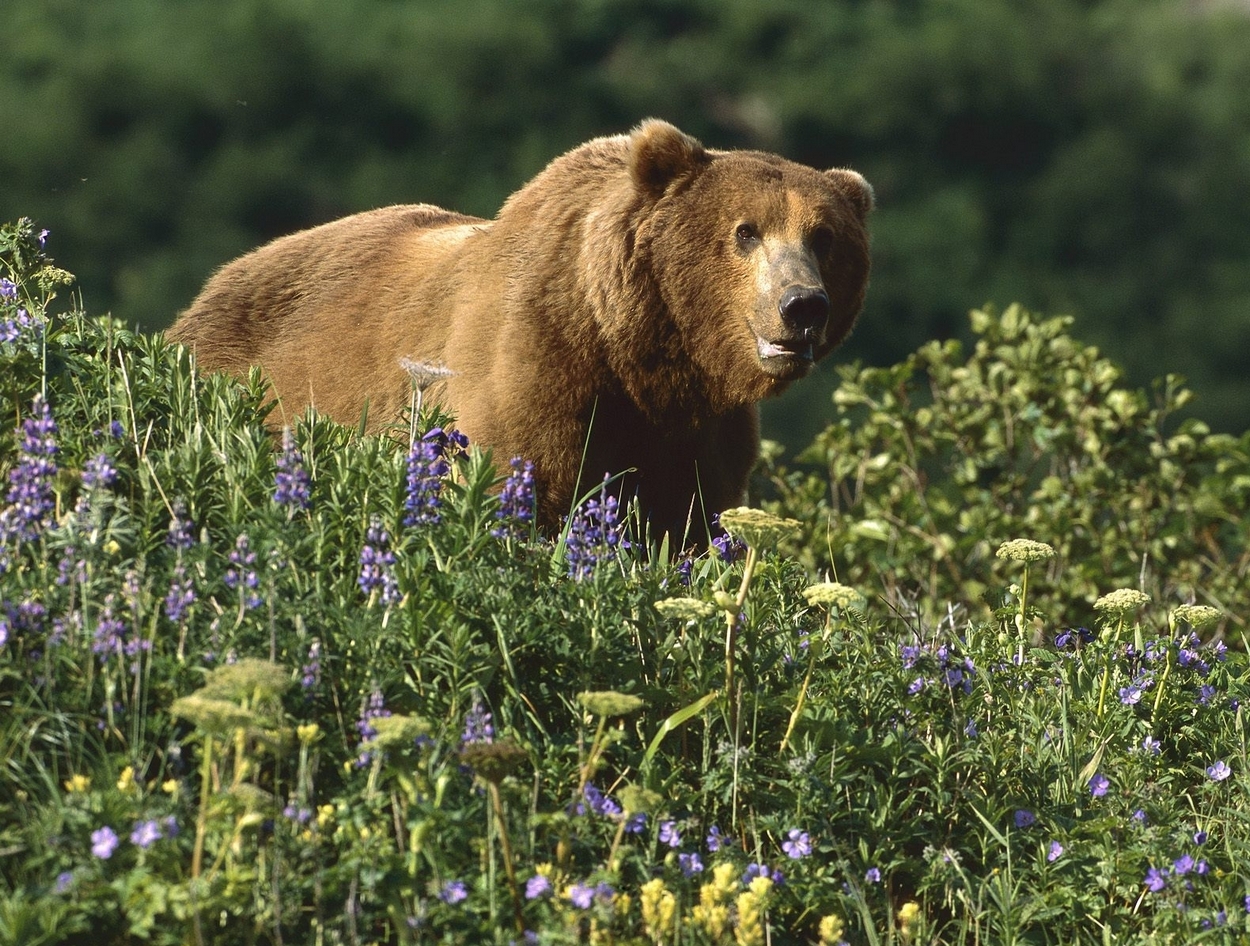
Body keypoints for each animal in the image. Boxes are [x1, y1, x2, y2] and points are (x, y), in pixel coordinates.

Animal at [169, 120, 873, 544]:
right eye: (745, 231)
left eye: (823, 237)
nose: (802, 305)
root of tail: (210, 288)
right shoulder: (535, 363)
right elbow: (519, 484)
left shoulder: (697, 427)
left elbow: (692, 522)